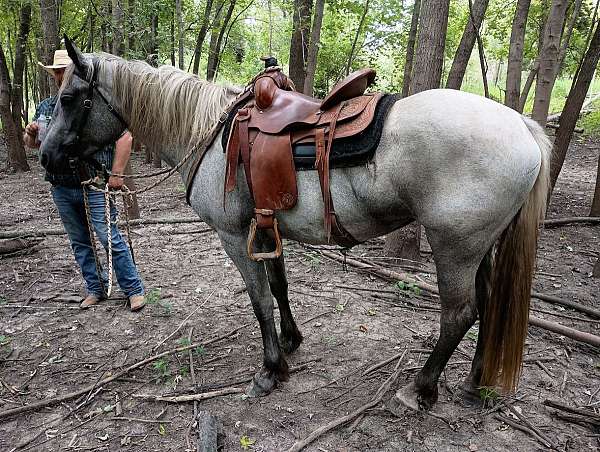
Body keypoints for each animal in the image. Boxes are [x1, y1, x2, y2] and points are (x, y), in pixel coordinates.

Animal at [39, 38, 552, 412]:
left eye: (68, 98)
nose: (46, 157)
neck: (210, 133)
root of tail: (522, 127)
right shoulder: (266, 227)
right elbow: (280, 287)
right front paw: (291, 340)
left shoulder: (233, 235)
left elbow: (259, 299)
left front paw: (271, 368)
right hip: (481, 248)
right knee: (490, 306)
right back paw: (474, 385)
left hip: (455, 248)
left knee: (459, 315)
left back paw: (422, 388)